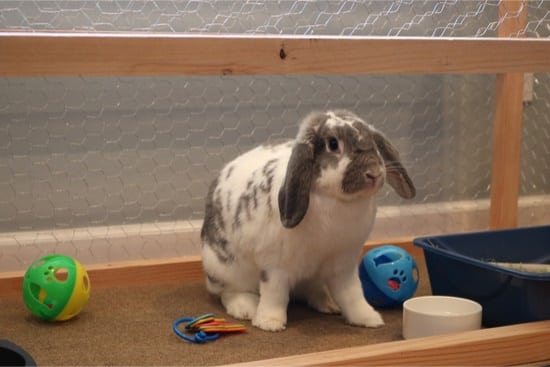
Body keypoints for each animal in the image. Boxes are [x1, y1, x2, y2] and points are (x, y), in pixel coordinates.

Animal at [201, 110, 416, 334]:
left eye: (372, 141)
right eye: (333, 144)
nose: (374, 173)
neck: (335, 201)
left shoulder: (344, 265)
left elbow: (352, 294)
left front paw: (368, 318)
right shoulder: (275, 266)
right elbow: (274, 295)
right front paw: (269, 323)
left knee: (312, 290)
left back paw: (329, 303)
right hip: (225, 268)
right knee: (228, 292)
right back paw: (246, 308)